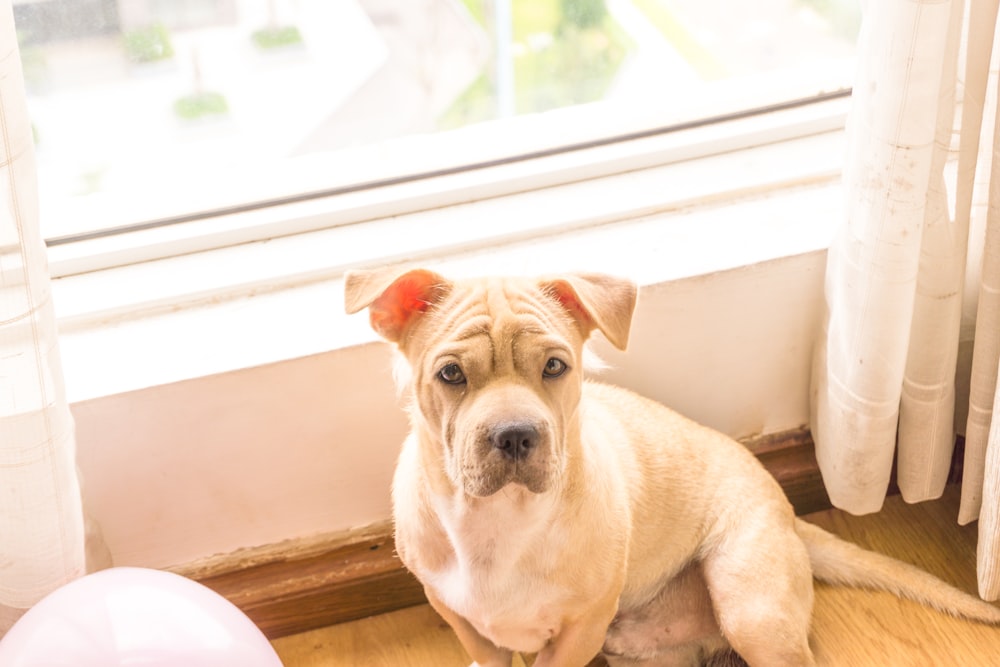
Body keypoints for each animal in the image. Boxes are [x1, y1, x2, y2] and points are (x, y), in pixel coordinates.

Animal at [344, 268, 1000, 667]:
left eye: (555, 366)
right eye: (450, 374)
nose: (514, 434)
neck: (499, 525)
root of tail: (787, 513)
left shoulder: (578, 631)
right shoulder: (463, 621)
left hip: (751, 608)